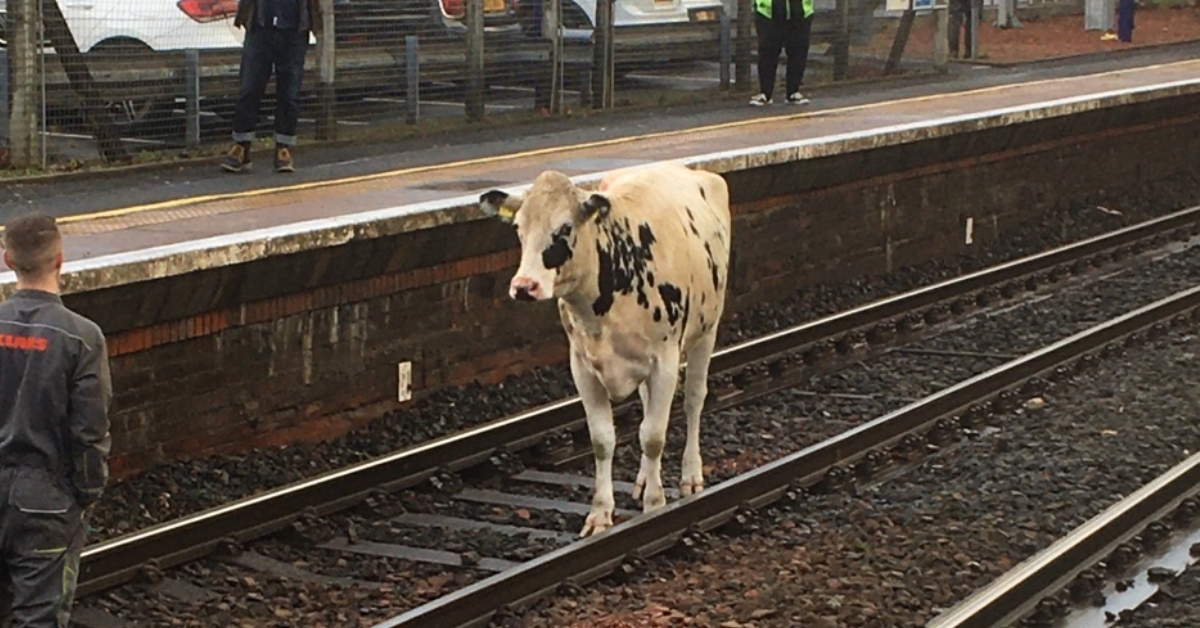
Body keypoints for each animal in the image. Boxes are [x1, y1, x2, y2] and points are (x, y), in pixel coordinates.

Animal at [477, 162, 729, 535]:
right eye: (519, 227)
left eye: (565, 228)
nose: (524, 286)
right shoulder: (582, 365)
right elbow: (602, 439)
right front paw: (600, 513)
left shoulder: (665, 360)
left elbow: (653, 435)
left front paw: (655, 505)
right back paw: (644, 477)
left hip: (706, 330)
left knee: (694, 400)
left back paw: (691, 475)